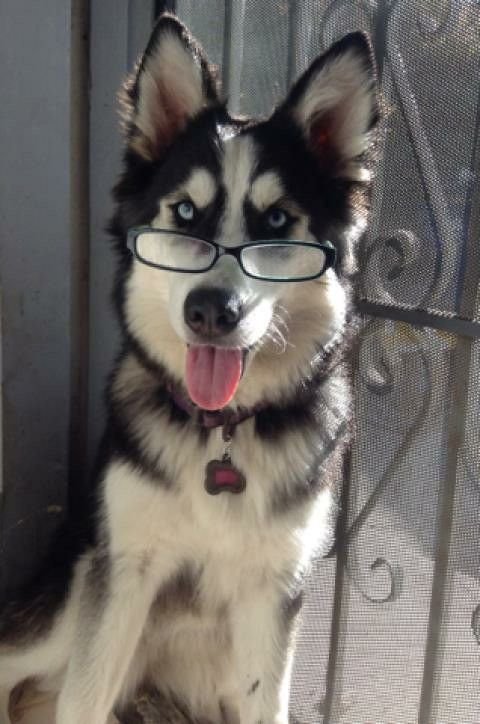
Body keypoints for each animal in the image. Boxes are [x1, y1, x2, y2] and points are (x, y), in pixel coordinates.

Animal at [0, 12, 376, 724]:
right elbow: (84, 699)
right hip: (67, 600)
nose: (210, 311)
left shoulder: (273, 589)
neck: (220, 433)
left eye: (276, 219)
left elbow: (266, 703)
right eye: (183, 213)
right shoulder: (124, 568)